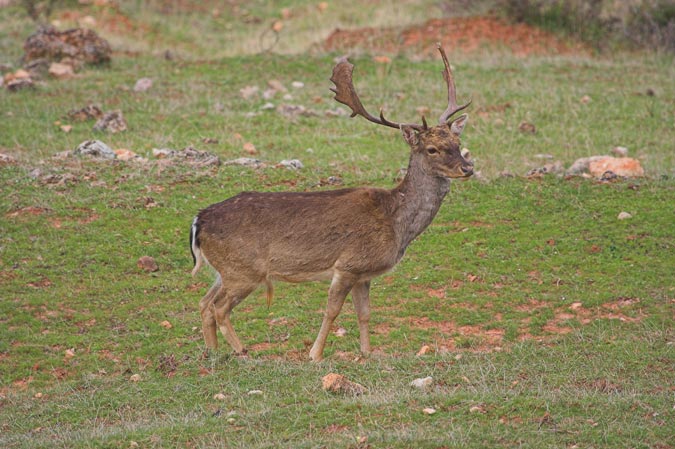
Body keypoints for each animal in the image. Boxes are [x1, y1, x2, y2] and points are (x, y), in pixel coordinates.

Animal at [190, 44, 472, 360]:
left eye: (458, 144)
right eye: (432, 149)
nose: (468, 168)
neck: (396, 223)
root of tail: (198, 221)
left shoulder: (364, 273)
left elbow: (364, 313)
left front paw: (367, 354)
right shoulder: (348, 264)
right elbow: (332, 311)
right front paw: (315, 355)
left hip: (225, 270)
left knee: (204, 303)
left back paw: (213, 353)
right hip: (244, 270)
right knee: (219, 307)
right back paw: (242, 351)